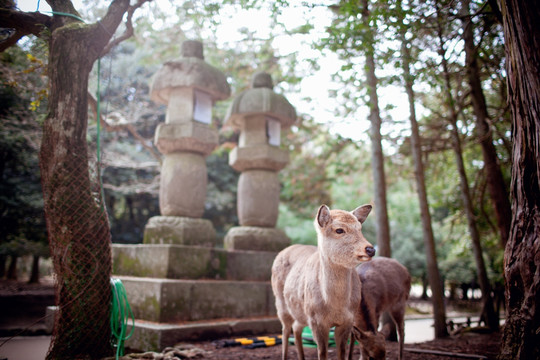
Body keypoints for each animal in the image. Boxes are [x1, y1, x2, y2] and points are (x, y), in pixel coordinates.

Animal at [270, 205, 376, 360]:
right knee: (285, 330)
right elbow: (322, 352)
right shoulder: (316, 321)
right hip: (280, 303)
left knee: (296, 328)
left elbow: (341, 352)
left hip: (301, 313)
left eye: (359, 228)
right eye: (339, 230)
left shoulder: (348, 321)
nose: (370, 249)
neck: (335, 306)